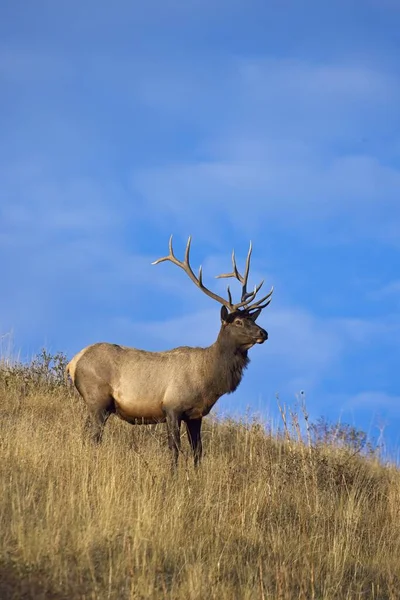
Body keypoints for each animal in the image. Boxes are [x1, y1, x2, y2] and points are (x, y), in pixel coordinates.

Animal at [67, 237, 274, 466]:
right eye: (238, 321)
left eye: (252, 318)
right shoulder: (172, 407)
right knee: (94, 436)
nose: (264, 333)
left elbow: (198, 451)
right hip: (98, 400)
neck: (208, 379)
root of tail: (73, 363)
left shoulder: (195, 415)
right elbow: (174, 448)